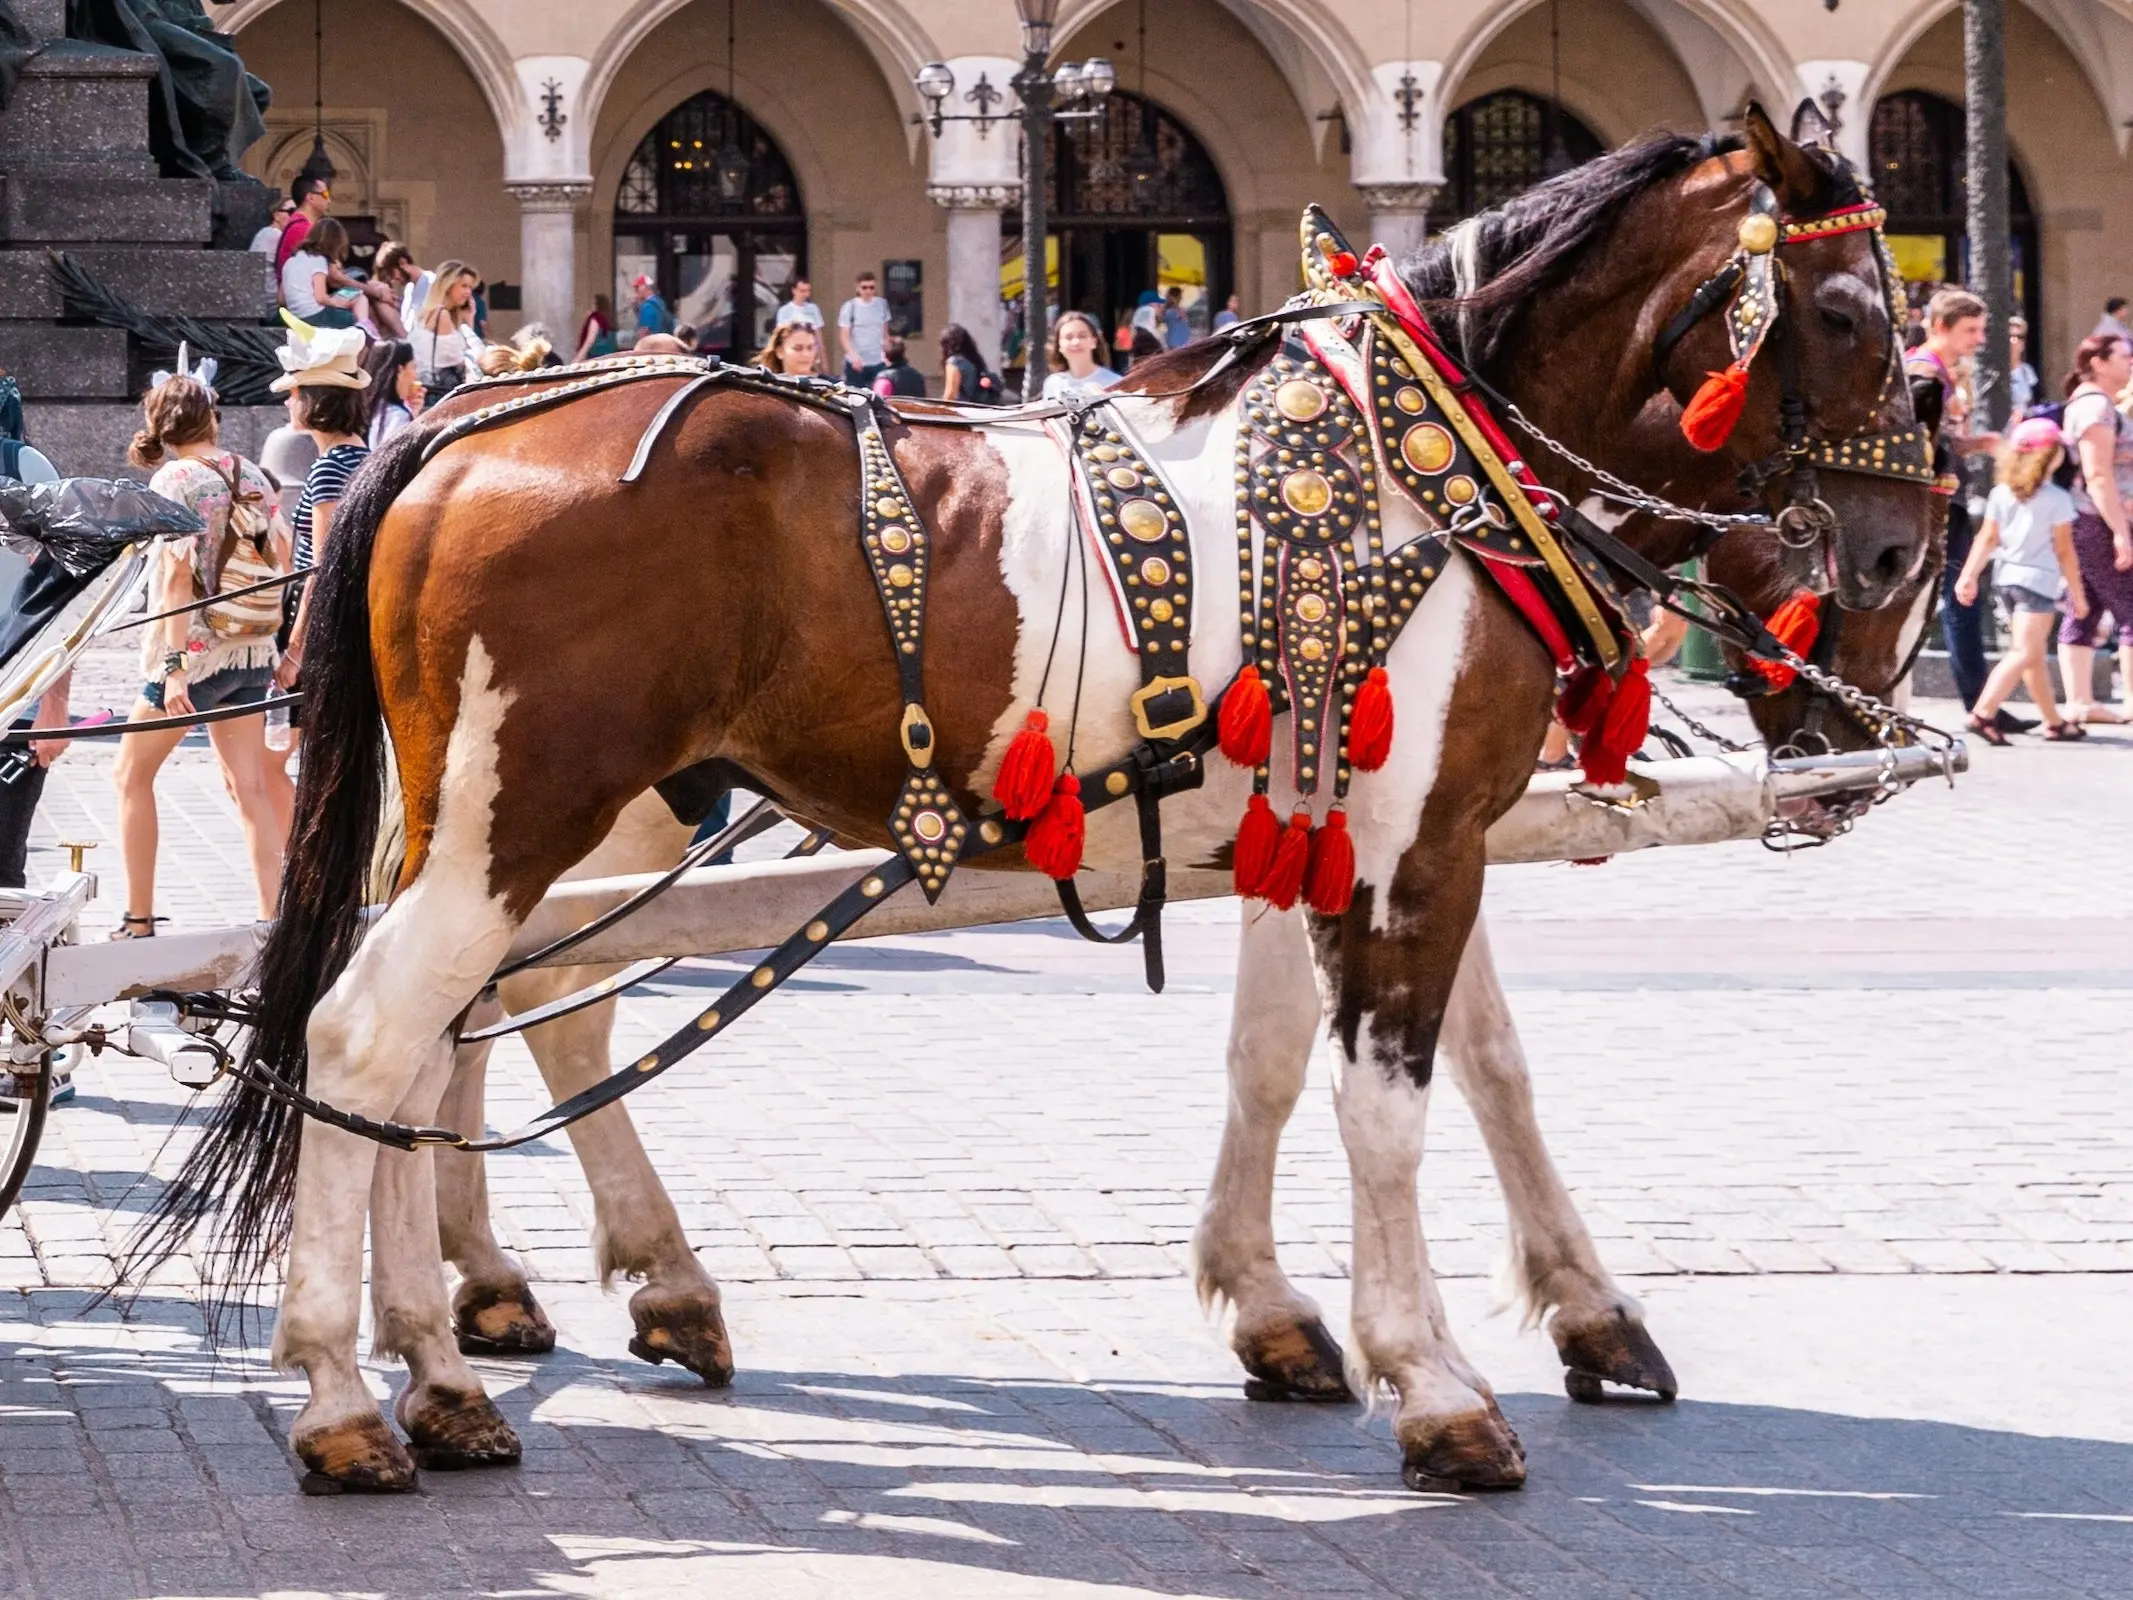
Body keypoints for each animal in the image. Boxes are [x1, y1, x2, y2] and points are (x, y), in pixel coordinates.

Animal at [146, 115, 1919, 1501]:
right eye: (1845, 311)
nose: (1902, 556)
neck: (1429, 475)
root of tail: (451, 427)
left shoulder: (1348, 831)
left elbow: (1383, 1063)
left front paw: (1422, 1311)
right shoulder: (1413, 846)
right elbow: (1391, 1102)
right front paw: (1433, 1386)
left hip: (500, 814)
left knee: (456, 1031)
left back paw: (457, 1366)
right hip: (531, 807)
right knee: (378, 1031)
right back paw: (349, 1397)